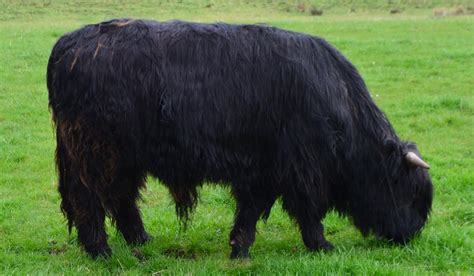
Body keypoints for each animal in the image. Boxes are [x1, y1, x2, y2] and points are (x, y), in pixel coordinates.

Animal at [47, 18, 434, 258]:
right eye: (412, 193)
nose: (412, 236)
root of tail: (69, 43)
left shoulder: (266, 168)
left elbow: (251, 209)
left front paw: (240, 247)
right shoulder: (299, 166)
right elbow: (305, 209)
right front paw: (321, 245)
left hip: (124, 156)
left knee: (121, 196)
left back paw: (141, 239)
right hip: (94, 152)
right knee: (88, 198)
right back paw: (100, 250)